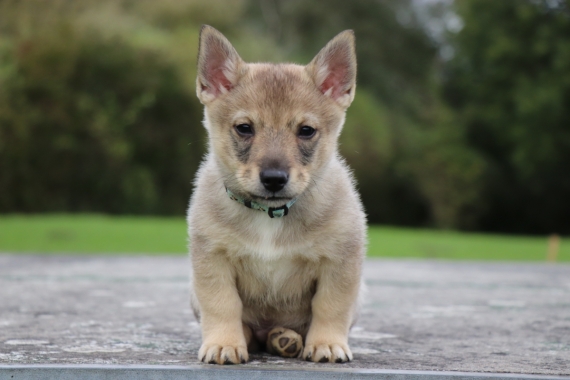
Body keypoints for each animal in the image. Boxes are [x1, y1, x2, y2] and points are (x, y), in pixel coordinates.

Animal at [186, 25, 364, 364]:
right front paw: (224, 343)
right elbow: (222, 304)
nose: (273, 179)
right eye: (244, 128)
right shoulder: (213, 260)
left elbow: (330, 306)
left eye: (306, 131)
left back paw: (286, 339)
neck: (270, 215)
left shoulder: (340, 262)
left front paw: (326, 344)